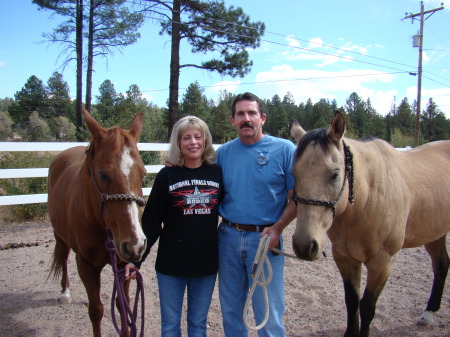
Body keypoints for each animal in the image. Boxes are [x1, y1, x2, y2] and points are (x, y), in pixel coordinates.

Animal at [48, 109, 149, 334]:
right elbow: (96, 310)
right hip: (60, 236)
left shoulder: (123, 265)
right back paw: (65, 292)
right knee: (63, 257)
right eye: (103, 174)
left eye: (143, 173)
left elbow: (123, 307)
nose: (135, 244)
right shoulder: (86, 264)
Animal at [290, 111, 448, 336]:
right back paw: (428, 314)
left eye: (335, 174)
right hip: (434, 233)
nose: (304, 246)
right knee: (441, 264)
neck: (367, 199)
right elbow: (351, 301)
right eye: (294, 174)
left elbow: (367, 306)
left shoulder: (380, 263)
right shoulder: (345, 258)